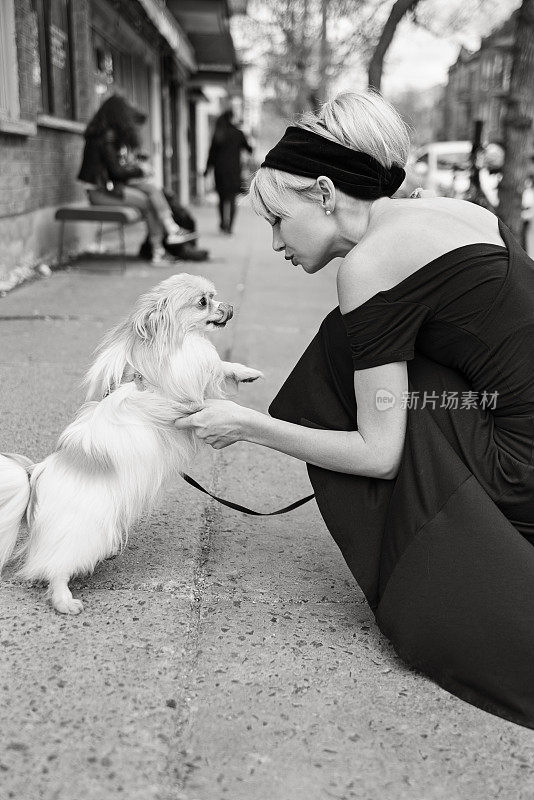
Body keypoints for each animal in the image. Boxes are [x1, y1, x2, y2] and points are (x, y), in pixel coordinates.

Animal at [0, 272, 264, 616]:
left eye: (214, 296)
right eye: (203, 302)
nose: (229, 307)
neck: (175, 345)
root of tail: (35, 477)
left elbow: (221, 365)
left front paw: (246, 372)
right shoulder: (186, 392)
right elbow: (211, 373)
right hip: (82, 529)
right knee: (56, 567)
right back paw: (65, 601)